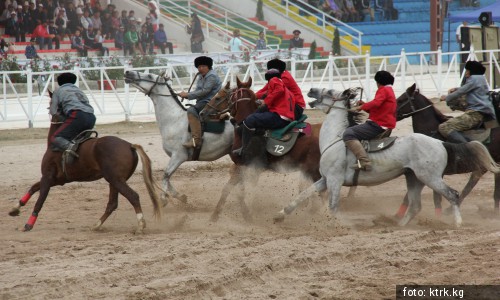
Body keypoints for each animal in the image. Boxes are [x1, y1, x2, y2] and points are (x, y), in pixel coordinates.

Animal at [8, 116, 160, 233]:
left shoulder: (47, 177)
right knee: (112, 204)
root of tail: (129, 145)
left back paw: (140, 226)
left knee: (133, 196)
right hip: (115, 181)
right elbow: (33, 187)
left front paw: (28, 225)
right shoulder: (56, 180)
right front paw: (15, 209)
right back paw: (96, 225)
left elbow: (39, 201)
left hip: (116, 180)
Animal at [125, 70, 234, 204]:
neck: (173, 120)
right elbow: (167, 177)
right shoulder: (174, 157)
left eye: (150, 75)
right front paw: (180, 196)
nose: (128, 72)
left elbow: (166, 175)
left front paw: (164, 198)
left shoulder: (179, 156)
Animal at [199, 77, 320, 223]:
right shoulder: (240, 166)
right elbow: (229, 189)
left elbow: (243, 192)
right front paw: (215, 215)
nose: (202, 113)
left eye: (218, 97)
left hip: (314, 170)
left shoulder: (250, 167)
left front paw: (248, 215)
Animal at [274, 88, 500, 226]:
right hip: (414, 178)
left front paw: (337, 224)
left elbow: (333, 206)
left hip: (430, 178)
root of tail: (439, 142)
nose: (311, 90)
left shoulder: (335, 181)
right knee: (415, 206)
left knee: (452, 194)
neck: (336, 139)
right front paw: (281, 214)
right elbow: (305, 194)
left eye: (329, 92)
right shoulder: (325, 179)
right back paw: (398, 225)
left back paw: (457, 222)